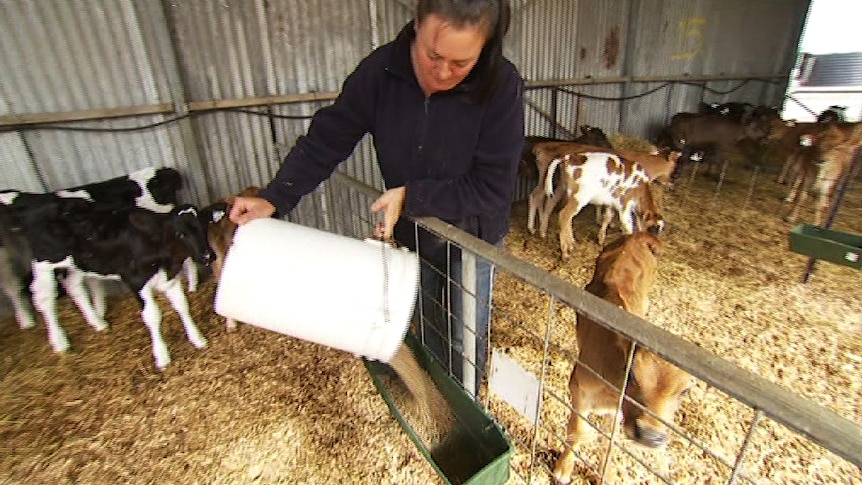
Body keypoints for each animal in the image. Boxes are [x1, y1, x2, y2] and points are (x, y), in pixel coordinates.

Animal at [552, 233, 696, 482]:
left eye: (684, 391)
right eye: (631, 375)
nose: (649, 437)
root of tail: (636, 236)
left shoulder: (616, 410)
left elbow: (609, 437)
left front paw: (606, 473)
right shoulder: (579, 388)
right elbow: (578, 431)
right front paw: (563, 469)